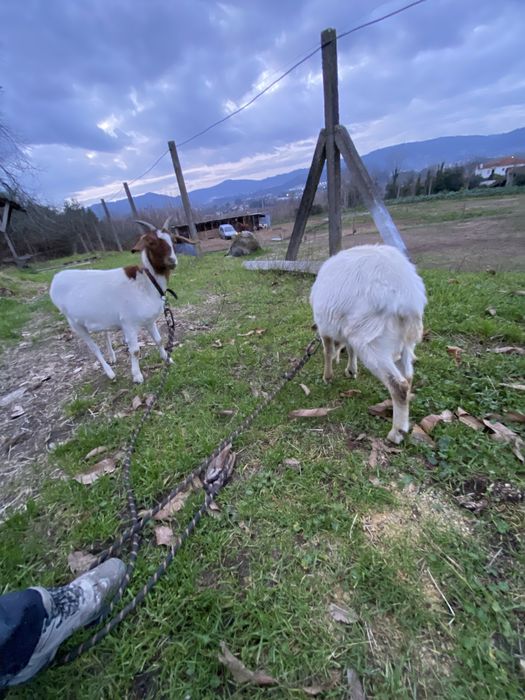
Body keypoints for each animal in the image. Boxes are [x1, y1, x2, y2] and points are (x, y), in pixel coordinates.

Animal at [50, 218, 178, 384]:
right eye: (151, 242)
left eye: (173, 240)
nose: (172, 261)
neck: (146, 283)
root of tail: (56, 278)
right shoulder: (128, 323)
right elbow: (135, 350)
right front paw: (137, 376)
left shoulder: (149, 320)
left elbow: (159, 339)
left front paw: (167, 359)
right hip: (74, 322)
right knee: (94, 348)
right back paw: (110, 372)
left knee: (105, 333)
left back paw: (112, 357)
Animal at [310, 244, 427, 444]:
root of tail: (408, 296)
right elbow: (350, 349)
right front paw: (351, 370)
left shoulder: (325, 328)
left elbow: (327, 351)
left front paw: (328, 376)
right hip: (404, 343)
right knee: (408, 378)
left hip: (372, 340)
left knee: (399, 385)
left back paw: (396, 433)